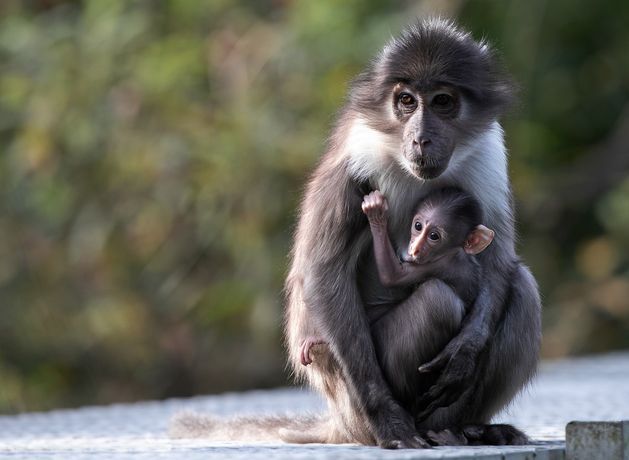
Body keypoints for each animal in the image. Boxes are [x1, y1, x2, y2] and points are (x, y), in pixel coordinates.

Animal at [300, 187, 496, 366]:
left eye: (434, 236)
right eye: (418, 226)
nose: (415, 248)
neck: (455, 252)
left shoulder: (437, 264)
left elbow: (392, 276)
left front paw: (376, 215)